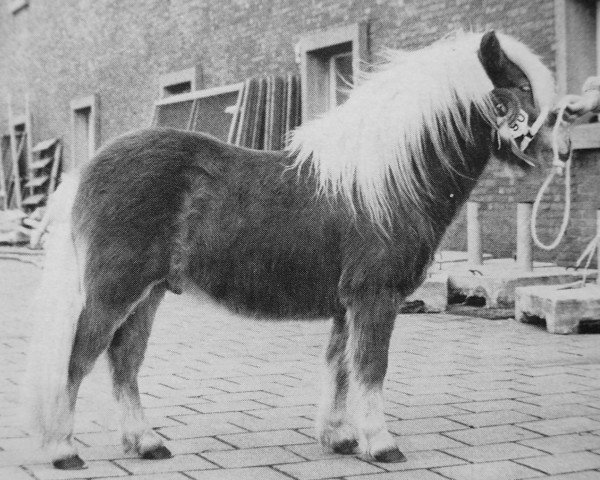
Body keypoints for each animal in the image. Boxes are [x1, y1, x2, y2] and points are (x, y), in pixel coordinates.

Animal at [25, 31, 556, 468]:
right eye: (519, 90)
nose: (554, 151)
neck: (385, 181)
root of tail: (86, 170)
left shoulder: (347, 306)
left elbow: (340, 367)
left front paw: (339, 438)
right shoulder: (374, 298)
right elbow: (371, 368)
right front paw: (381, 444)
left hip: (149, 294)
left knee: (125, 359)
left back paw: (147, 443)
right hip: (114, 292)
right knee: (78, 359)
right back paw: (64, 450)